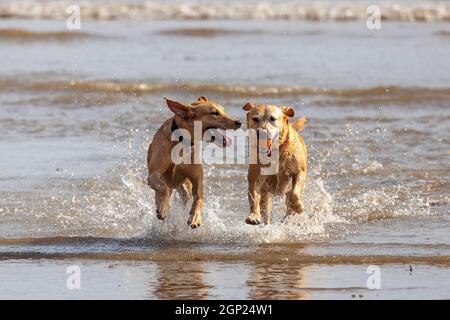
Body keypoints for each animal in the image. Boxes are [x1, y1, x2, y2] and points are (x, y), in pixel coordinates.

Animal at [148, 96, 241, 229]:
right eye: (215, 113)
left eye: (223, 110)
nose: (239, 122)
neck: (182, 141)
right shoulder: (153, 174)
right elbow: (164, 188)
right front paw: (163, 207)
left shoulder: (197, 179)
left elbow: (199, 198)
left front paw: (195, 217)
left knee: (186, 195)